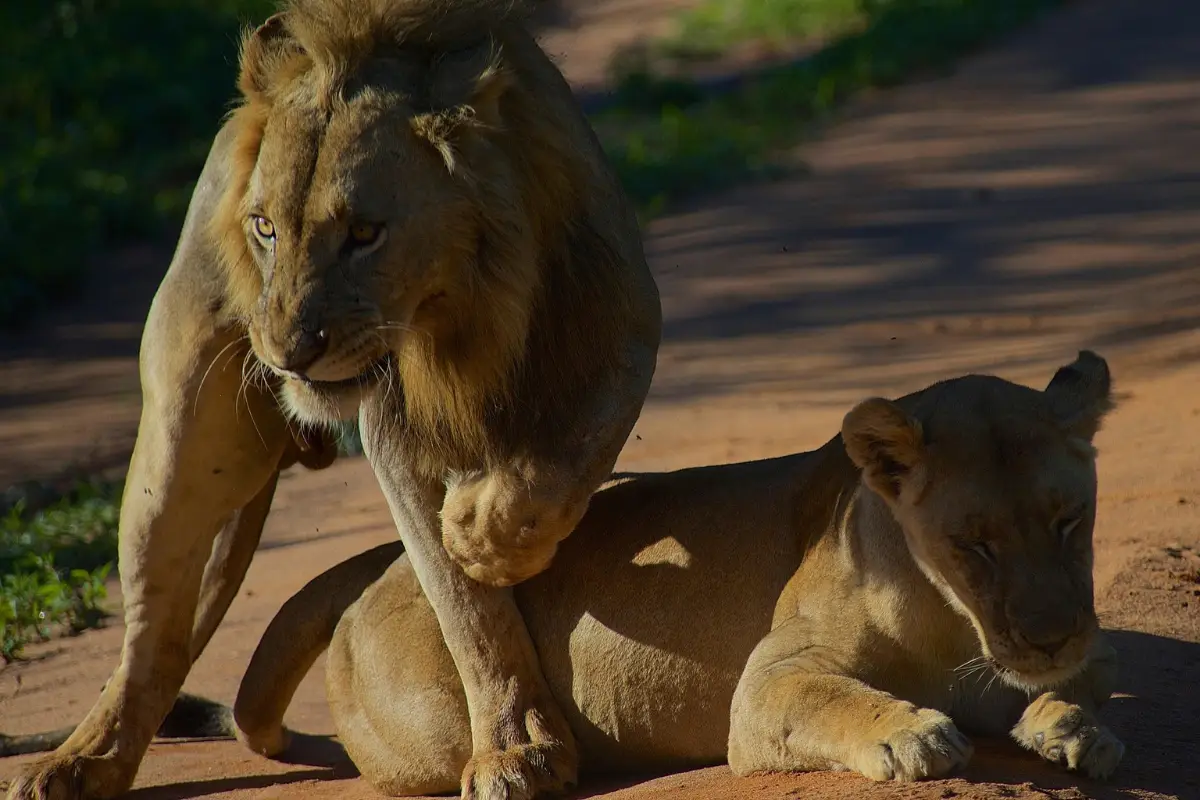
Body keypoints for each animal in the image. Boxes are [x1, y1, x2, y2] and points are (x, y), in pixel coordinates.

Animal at [5, 2, 661, 799]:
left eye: (365, 234)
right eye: (265, 228)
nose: (289, 354)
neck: (466, 319)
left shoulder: (622, 323)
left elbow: (570, 458)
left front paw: (487, 532)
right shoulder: (393, 430)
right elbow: (463, 607)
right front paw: (515, 748)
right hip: (183, 432)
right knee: (150, 640)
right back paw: (81, 763)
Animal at [7, 353, 1124, 791]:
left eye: (1070, 518)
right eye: (975, 541)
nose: (1055, 633)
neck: (949, 618)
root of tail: (372, 566)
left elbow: (1050, 696)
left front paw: (1075, 723)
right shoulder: (767, 687)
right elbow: (841, 698)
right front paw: (911, 734)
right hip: (441, 715)